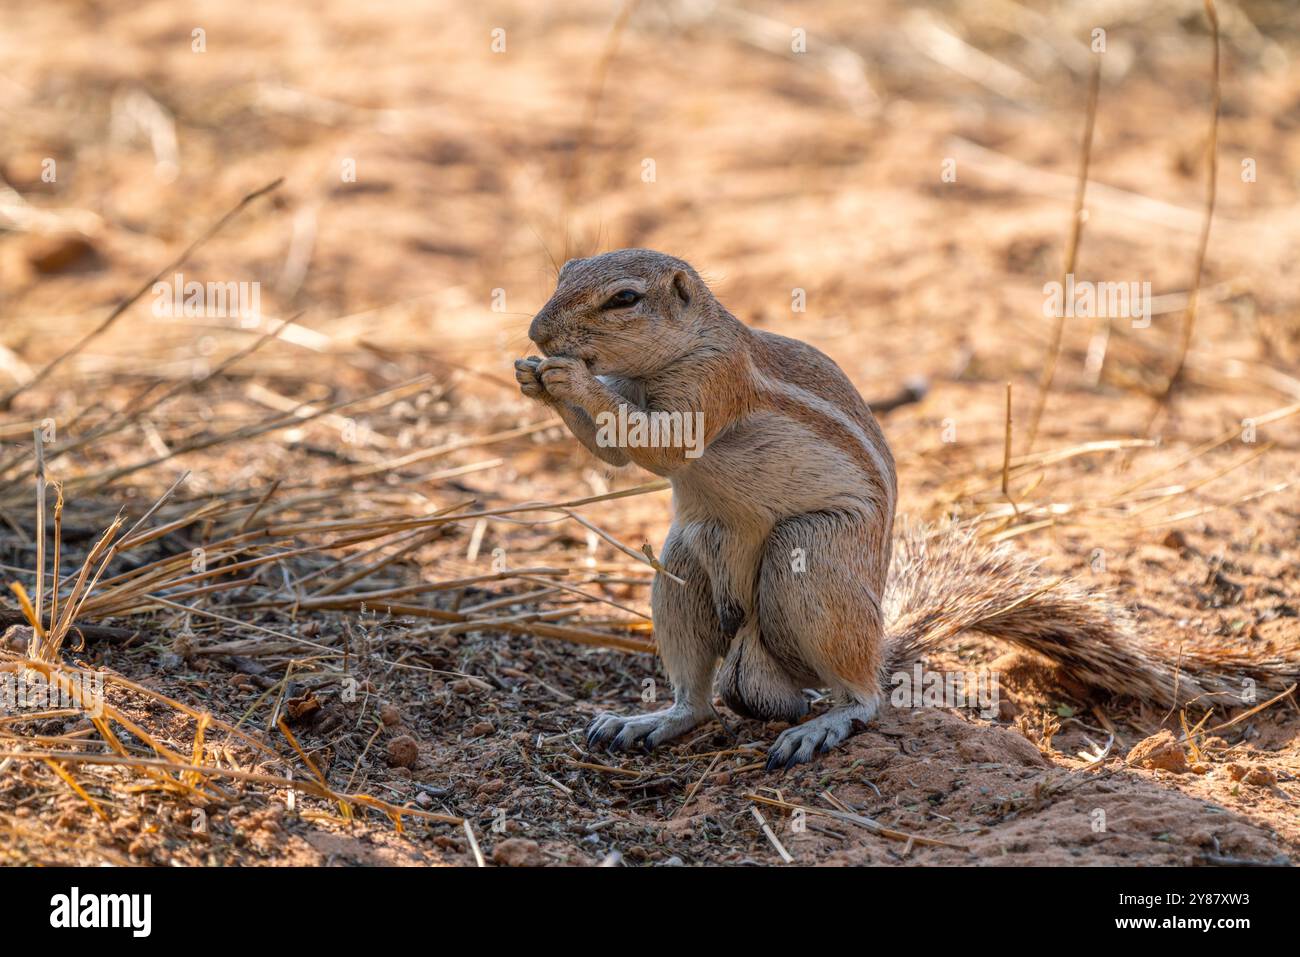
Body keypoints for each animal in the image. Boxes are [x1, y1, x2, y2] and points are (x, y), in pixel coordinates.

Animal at [512, 248, 1294, 769]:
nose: (535, 334)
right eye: (563, 270)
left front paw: (566, 378)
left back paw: (822, 725)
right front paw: (535, 378)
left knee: (862, 696)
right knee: (700, 700)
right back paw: (651, 722)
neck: (668, 357)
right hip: (683, 565)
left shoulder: (715, 384)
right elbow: (616, 455)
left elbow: (661, 440)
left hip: (812, 561)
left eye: (623, 299)